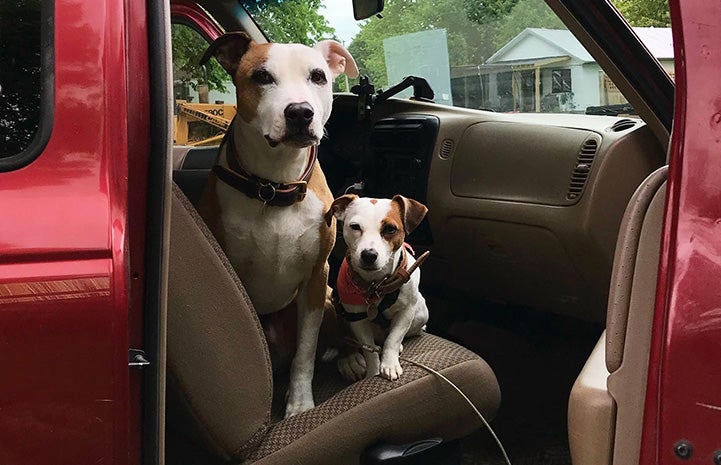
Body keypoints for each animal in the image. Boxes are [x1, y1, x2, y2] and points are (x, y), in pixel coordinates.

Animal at [198, 32, 358, 416]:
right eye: (261, 77)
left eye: (318, 76)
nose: (300, 112)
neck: (275, 184)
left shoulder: (316, 277)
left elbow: (306, 352)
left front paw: (299, 403)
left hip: (327, 300)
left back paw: (350, 357)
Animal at [324, 196, 428, 380]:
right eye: (355, 226)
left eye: (390, 229)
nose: (369, 255)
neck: (376, 285)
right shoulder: (357, 319)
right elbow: (369, 350)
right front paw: (374, 371)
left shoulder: (406, 312)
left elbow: (393, 339)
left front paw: (389, 363)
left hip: (422, 312)